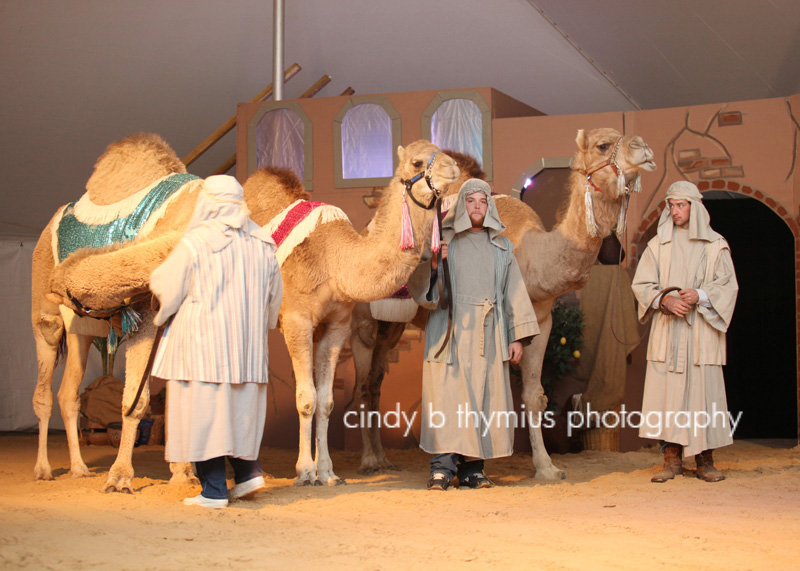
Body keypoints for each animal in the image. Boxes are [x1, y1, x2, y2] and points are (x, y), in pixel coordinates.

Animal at [34, 133, 202, 492]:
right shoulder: (145, 317)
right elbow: (135, 401)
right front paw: (120, 477)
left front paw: (185, 473)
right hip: (46, 318)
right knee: (44, 388)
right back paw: (43, 469)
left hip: (81, 331)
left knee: (68, 393)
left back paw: (80, 468)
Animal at [244, 141, 460, 484]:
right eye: (417, 162)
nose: (452, 167)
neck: (336, 261)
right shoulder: (299, 320)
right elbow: (307, 398)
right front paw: (306, 472)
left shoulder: (337, 326)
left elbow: (326, 400)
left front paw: (328, 472)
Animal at [346, 128, 652, 478]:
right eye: (603, 145)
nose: (643, 148)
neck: (534, 256)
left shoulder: (541, 321)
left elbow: (534, 396)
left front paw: (547, 467)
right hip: (364, 322)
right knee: (362, 386)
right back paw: (369, 461)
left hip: (392, 326)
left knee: (376, 383)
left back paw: (384, 458)